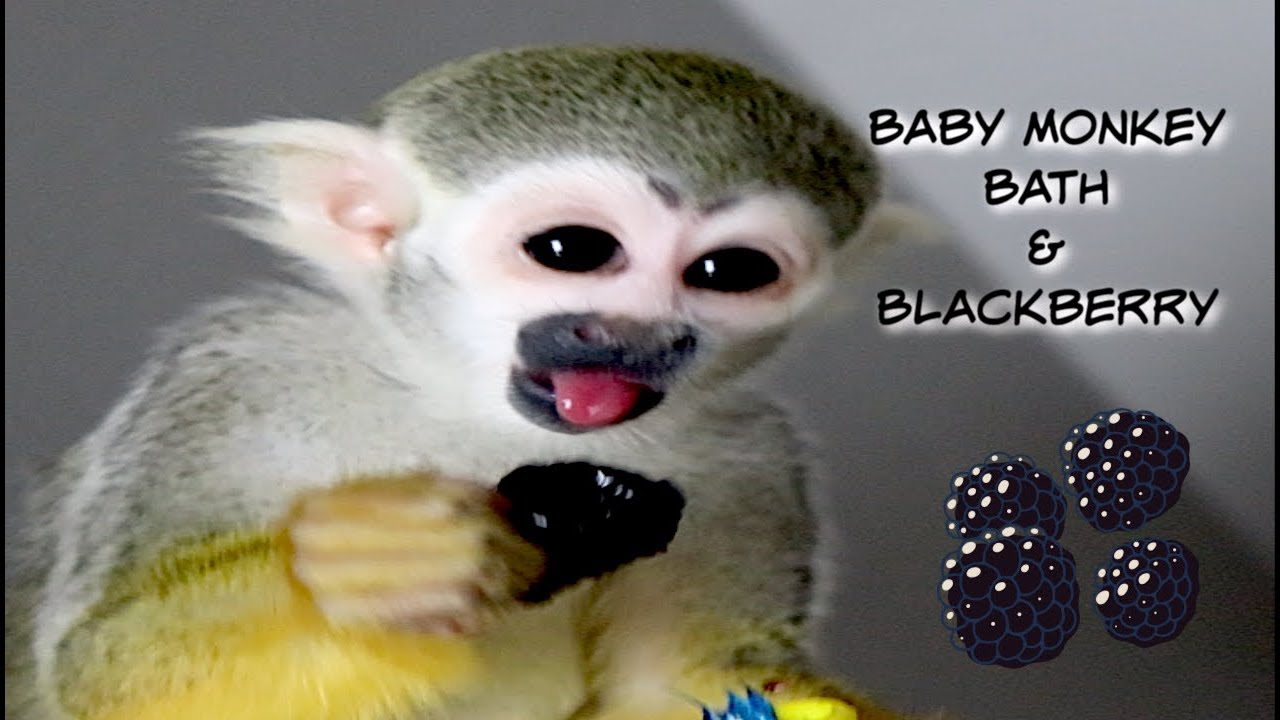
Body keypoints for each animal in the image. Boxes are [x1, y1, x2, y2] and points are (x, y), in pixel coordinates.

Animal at [5, 45, 919, 720]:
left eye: (729, 271)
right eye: (572, 250)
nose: (637, 339)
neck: (474, 411)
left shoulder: (754, 460)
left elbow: (671, 686)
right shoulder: (234, 378)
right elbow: (111, 670)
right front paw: (371, 575)